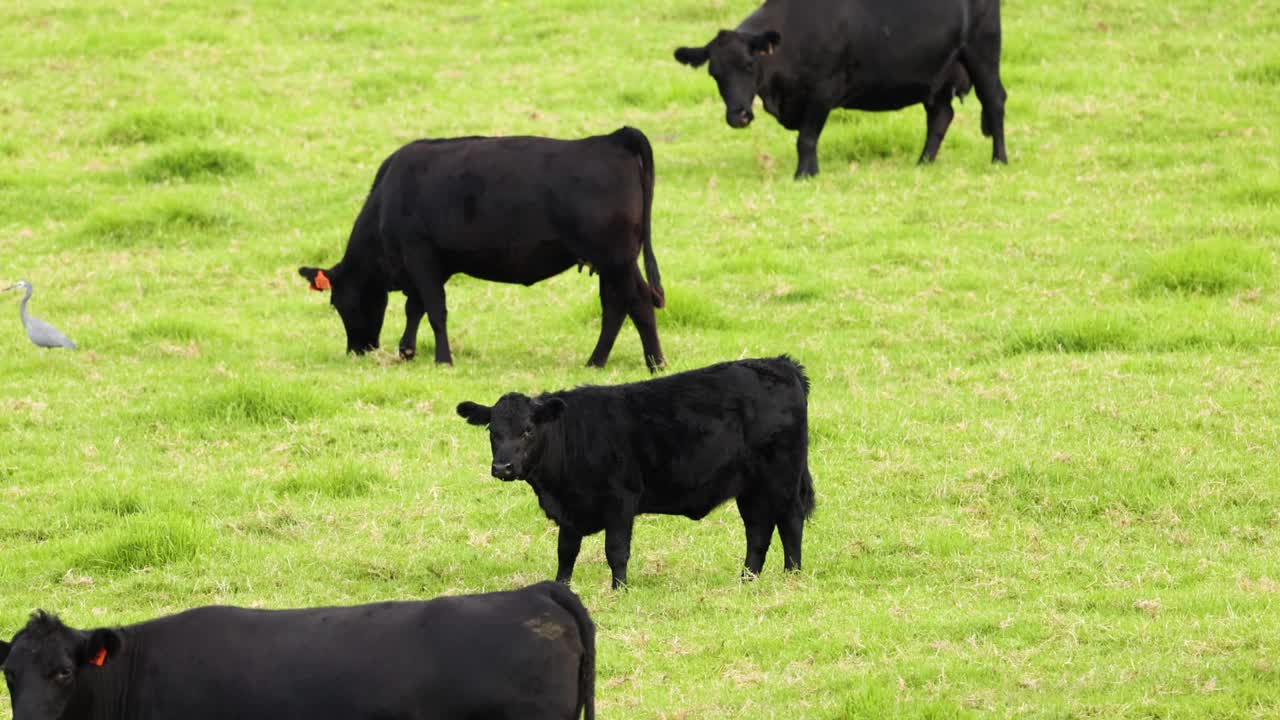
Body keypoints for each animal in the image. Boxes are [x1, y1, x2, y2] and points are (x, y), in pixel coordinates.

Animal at [295, 124, 665, 368]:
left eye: (338, 303)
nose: (357, 349)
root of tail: (613, 138)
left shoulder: (420, 255)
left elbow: (435, 310)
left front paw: (443, 360)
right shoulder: (430, 264)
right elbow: (416, 308)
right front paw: (407, 351)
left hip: (615, 258)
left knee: (637, 302)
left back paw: (654, 363)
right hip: (614, 261)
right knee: (619, 306)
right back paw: (599, 361)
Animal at [460, 353, 814, 584]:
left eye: (528, 431)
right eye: (492, 430)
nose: (503, 467)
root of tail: (780, 363)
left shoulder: (621, 500)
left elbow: (615, 550)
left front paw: (620, 589)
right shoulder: (570, 510)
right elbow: (566, 551)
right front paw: (562, 586)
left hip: (781, 477)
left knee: (790, 522)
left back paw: (791, 574)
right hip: (750, 486)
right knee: (758, 529)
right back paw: (748, 579)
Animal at [675, 0, 1003, 176]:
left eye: (748, 65)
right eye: (714, 73)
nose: (738, 116)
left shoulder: (824, 89)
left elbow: (807, 138)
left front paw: (804, 175)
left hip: (982, 53)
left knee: (995, 101)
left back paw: (1000, 159)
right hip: (936, 73)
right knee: (941, 115)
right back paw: (923, 163)